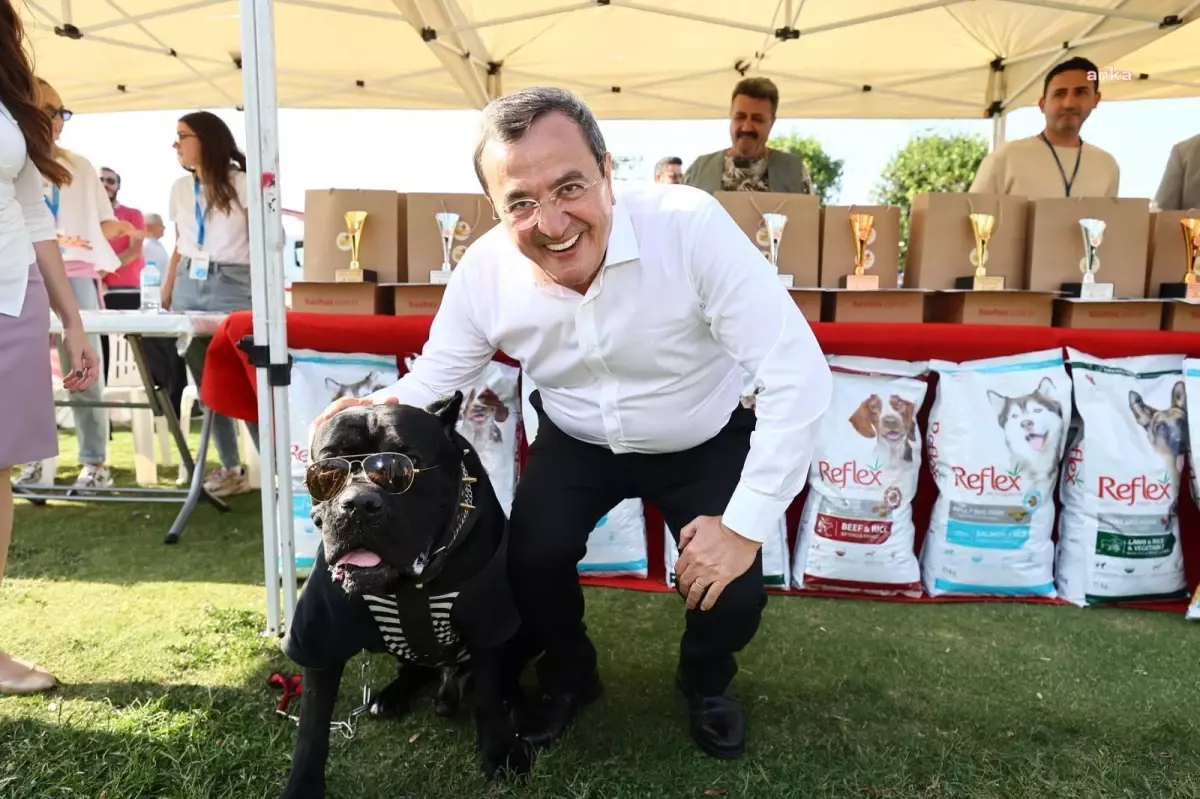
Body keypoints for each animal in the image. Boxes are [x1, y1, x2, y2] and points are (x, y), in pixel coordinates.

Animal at [278, 393, 532, 796]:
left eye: (405, 466)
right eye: (327, 471)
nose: (360, 503)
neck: (410, 584)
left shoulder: (488, 623)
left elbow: (489, 695)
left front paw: (500, 752)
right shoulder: (320, 635)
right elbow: (312, 727)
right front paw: (302, 787)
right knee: (414, 669)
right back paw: (391, 697)